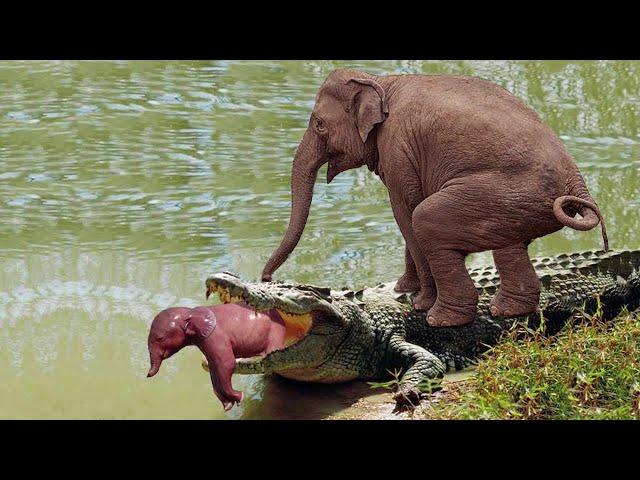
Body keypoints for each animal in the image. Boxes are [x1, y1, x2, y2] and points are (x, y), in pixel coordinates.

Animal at [146, 304, 286, 408]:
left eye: (160, 338)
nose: (147, 375)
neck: (191, 312)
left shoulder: (216, 337)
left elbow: (227, 364)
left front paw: (240, 397)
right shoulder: (206, 343)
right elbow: (213, 368)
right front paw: (228, 405)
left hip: (275, 331)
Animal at [260, 69, 604, 328]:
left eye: (319, 124)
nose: (267, 278)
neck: (380, 79)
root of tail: (577, 183)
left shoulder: (398, 148)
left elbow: (406, 210)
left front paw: (418, 302)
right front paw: (403, 288)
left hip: (502, 193)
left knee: (426, 218)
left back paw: (442, 319)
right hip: (517, 205)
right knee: (510, 246)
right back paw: (505, 310)